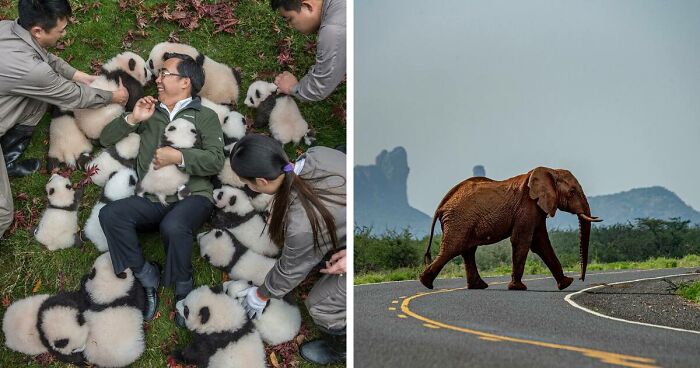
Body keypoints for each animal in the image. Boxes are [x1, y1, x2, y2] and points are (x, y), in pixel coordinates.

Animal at [418, 167, 604, 290]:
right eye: (572, 192)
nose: (580, 279)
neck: (550, 171)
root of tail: (442, 205)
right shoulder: (526, 206)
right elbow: (523, 241)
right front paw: (518, 288)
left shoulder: (536, 209)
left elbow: (541, 243)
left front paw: (566, 284)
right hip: (459, 220)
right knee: (453, 248)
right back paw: (425, 283)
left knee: (467, 250)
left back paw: (478, 286)